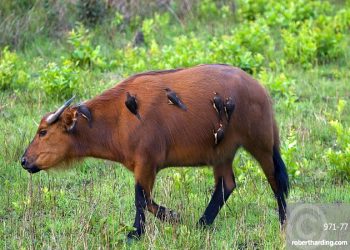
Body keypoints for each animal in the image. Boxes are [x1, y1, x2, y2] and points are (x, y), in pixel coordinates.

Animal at [21, 63, 290, 239]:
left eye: (43, 131)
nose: (24, 160)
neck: (118, 116)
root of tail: (258, 88)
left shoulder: (146, 165)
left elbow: (141, 200)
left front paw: (139, 232)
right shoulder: (144, 168)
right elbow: (146, 200)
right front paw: (167, 220)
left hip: (262, 146)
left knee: (276, 182)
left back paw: (284, 223)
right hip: (221, 154)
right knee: (226, 185)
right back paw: (202, 224)